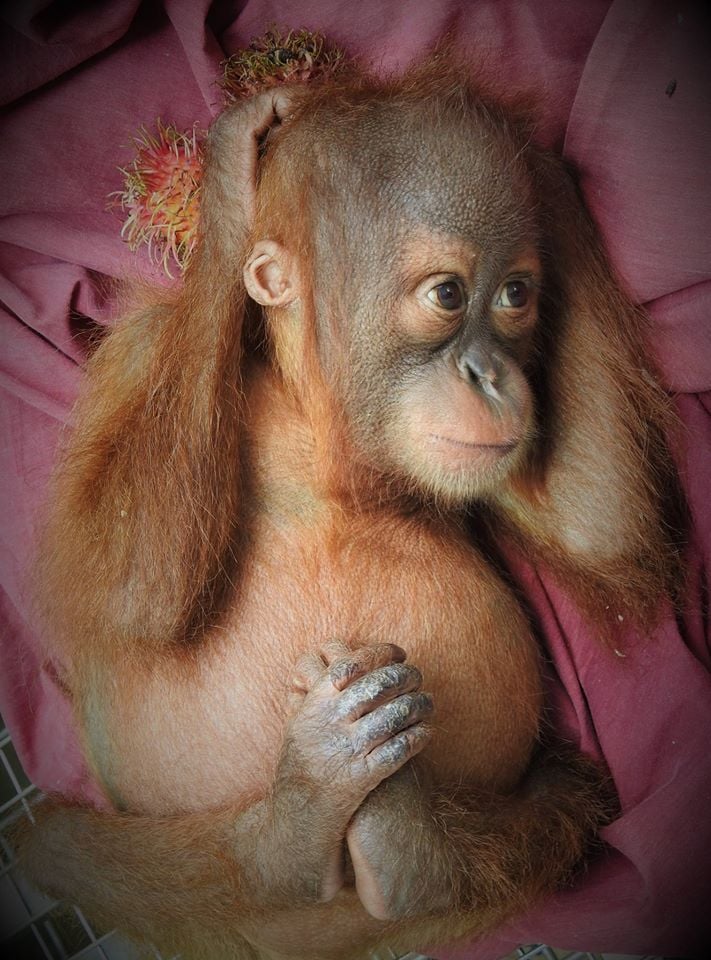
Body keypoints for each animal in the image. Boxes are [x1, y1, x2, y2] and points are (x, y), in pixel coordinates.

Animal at [15, 53, 683, 960]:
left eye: (515, 294)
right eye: (448, 295)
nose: (492, 375)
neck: (326, 433)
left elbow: (598, 524)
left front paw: (535, 161)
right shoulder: (142, 353)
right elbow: (131, 591)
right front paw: (231, 171)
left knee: (568, 797)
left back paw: (407, 845)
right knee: (56, 844)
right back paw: (291, 825)